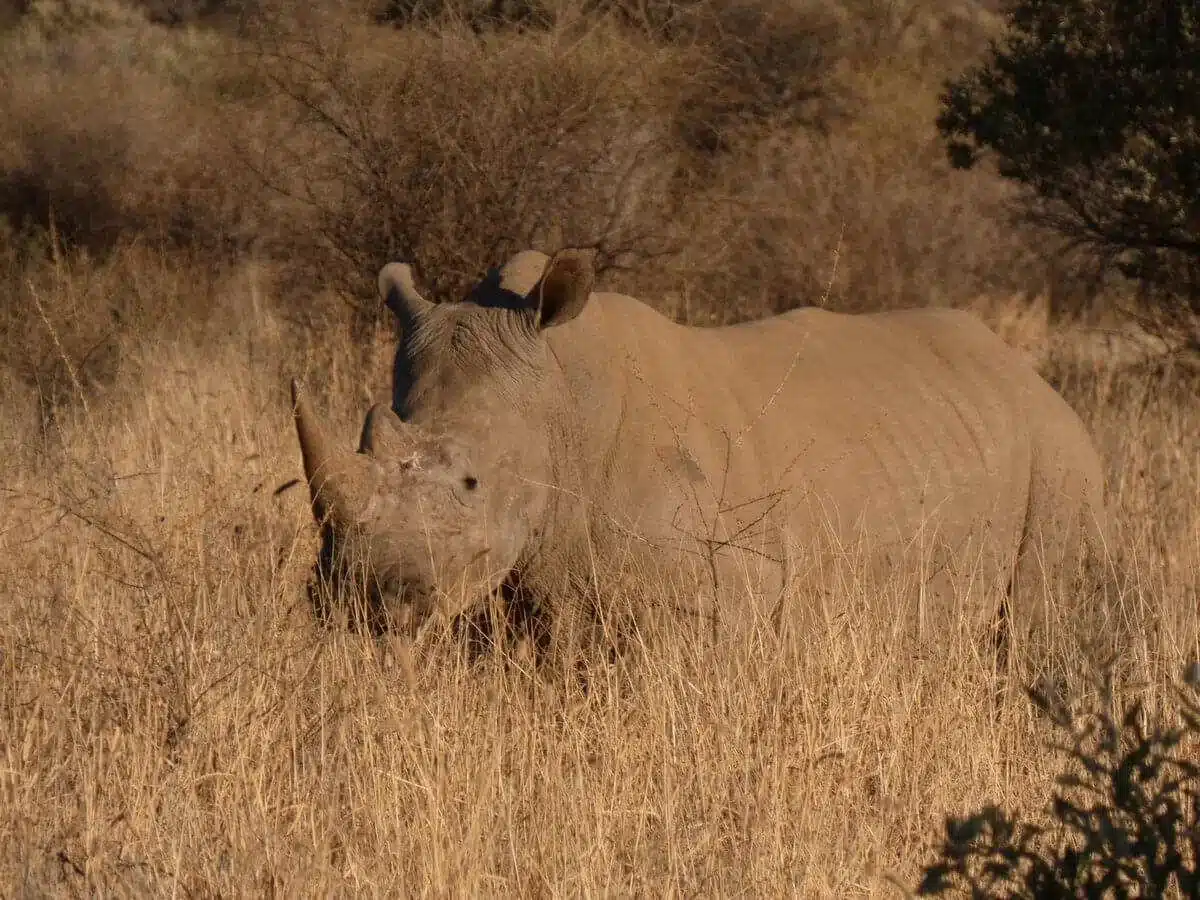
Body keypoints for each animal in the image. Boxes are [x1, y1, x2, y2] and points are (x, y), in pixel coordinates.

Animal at [292, 250, 1113, 672]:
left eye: (471, 481)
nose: (363, 600)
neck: (563, 403)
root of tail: (1028, 375)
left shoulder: (719, 602)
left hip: (1062, 463)